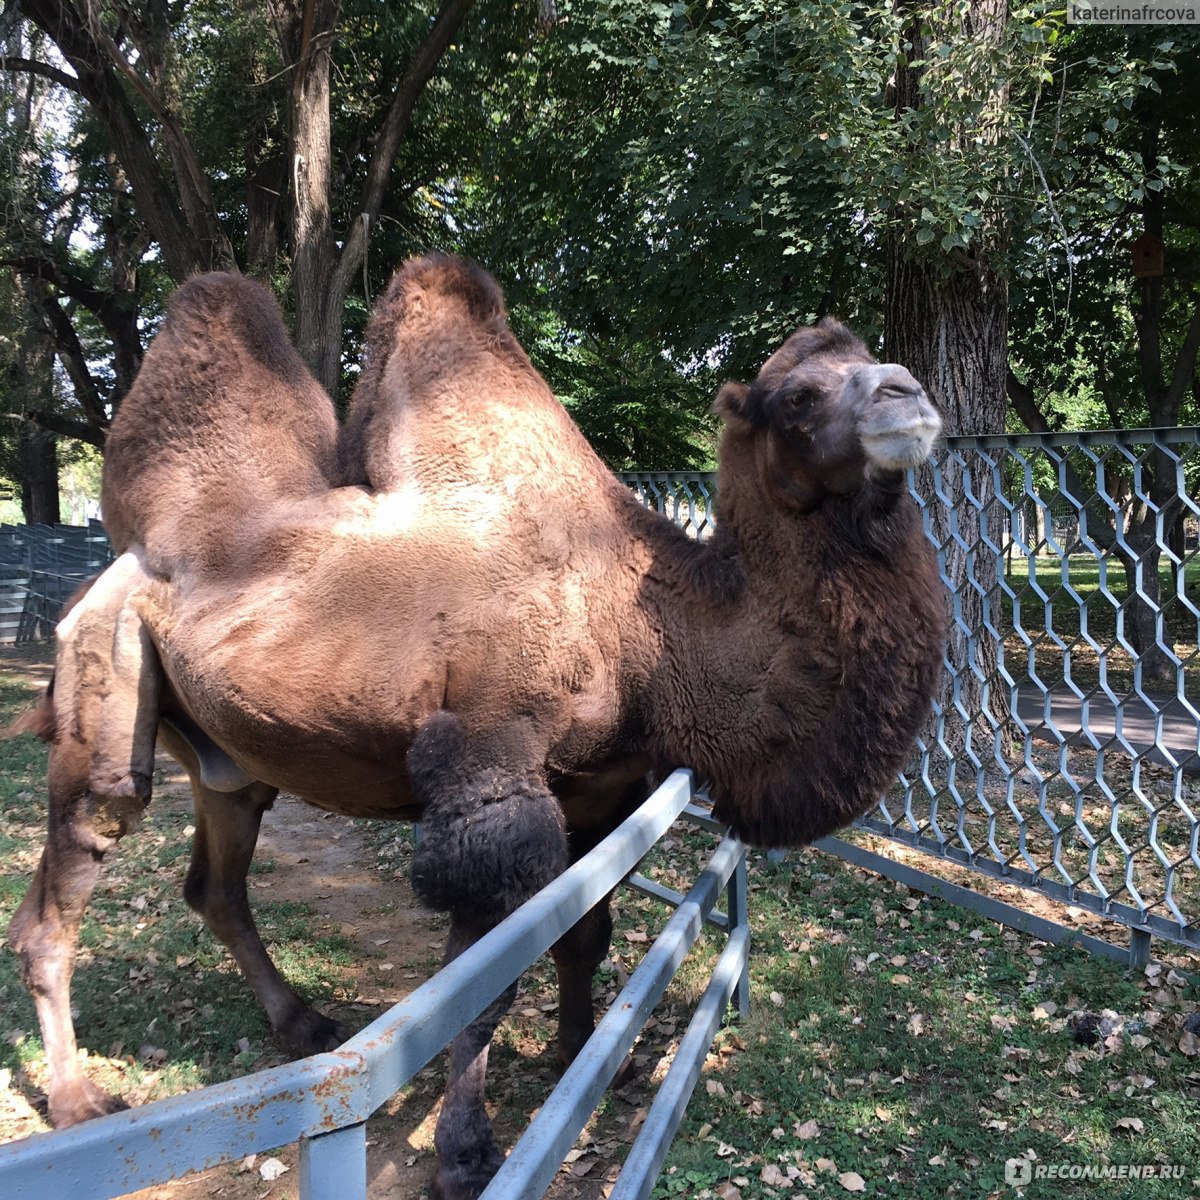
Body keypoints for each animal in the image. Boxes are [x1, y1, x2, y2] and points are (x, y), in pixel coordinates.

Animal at [7, 255, 945, 1200]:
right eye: (798, 395)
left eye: (870, 356)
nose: (908, 394)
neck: (644, 629)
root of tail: (103, 577)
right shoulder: (490, 766)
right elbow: (483, 983)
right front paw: (465, 1155)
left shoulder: (601, 789)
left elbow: (584, 933)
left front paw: (586, 1054)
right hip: (107, 681)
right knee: (70, 877)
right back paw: (81, 1102)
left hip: (229, 759)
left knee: (217, 883)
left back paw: (304, 1024)